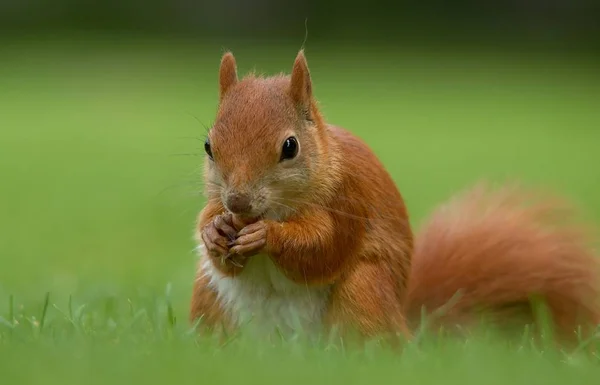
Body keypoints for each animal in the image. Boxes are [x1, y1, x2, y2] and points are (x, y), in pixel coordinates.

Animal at [189, 49, 600, 346]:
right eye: (208, 146)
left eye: (290, 147)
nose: (238, 202)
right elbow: (212, 231)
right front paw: (214, 229)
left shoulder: (349, 200)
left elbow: (323, 249)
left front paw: (267, 235)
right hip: (209, 298)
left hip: (365, 290)